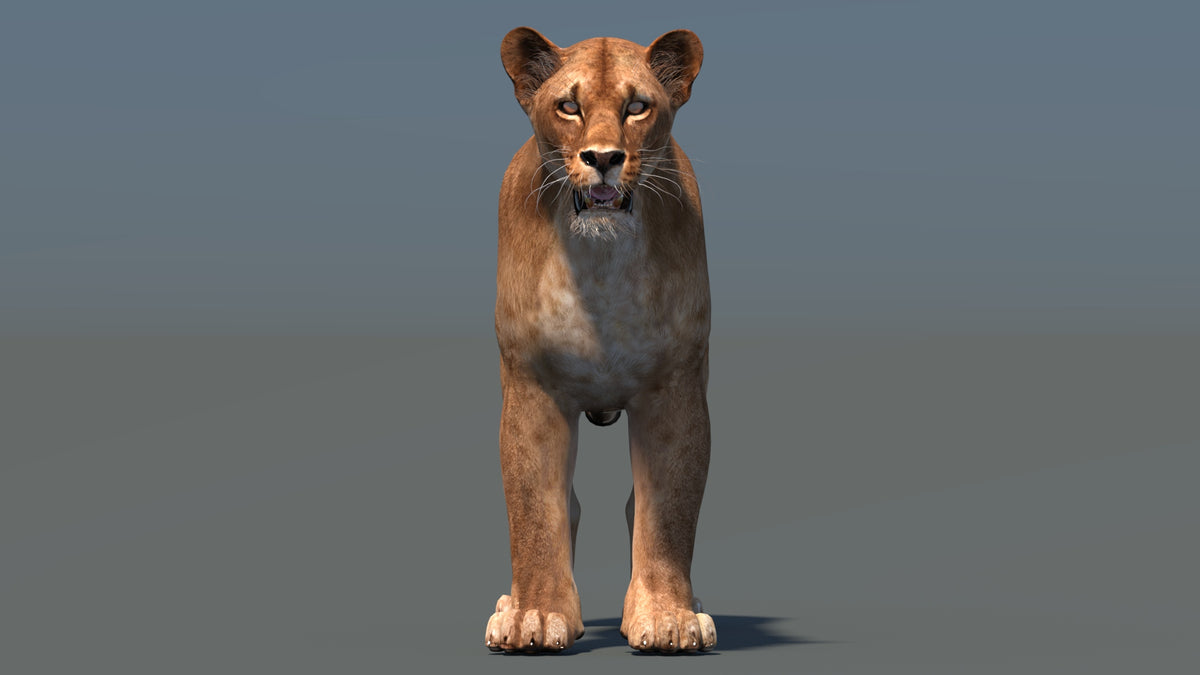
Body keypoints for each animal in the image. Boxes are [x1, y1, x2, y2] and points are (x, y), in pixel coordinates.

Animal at [486, 27, 715, 654]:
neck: (601, 263)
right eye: (570, 106)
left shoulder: (674, 389)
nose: (605, 159)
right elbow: (533, 512)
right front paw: (535, 617)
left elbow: (669, 513)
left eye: (637, 107)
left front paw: (668, 617)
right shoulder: (532, 387)